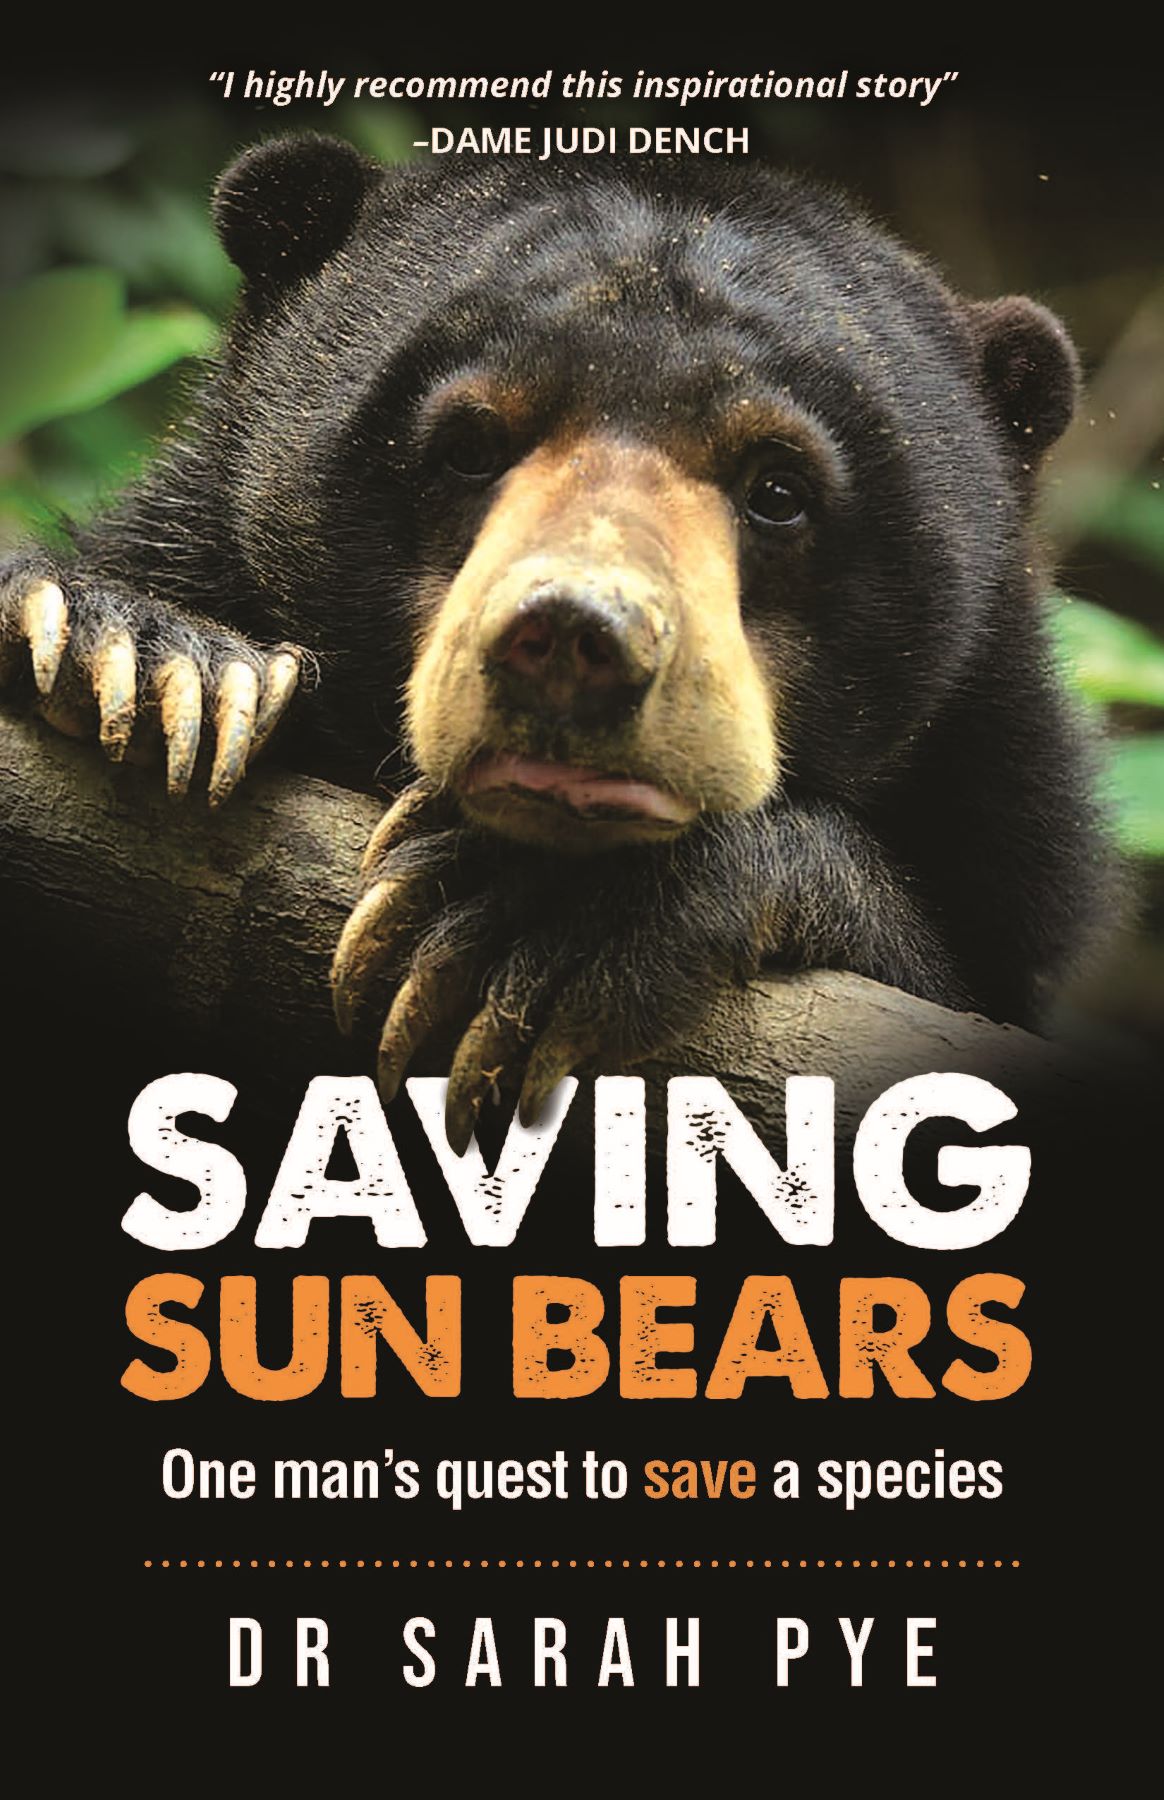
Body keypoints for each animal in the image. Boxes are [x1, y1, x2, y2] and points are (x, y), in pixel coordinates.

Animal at [0, 135, 1115, 1151]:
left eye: (779, 490)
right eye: (468, 445)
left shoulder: (1012, 833)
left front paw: (524, 923)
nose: (576, 641)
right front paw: (149, 662)